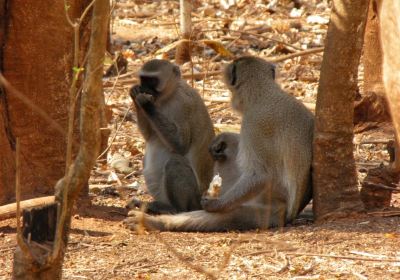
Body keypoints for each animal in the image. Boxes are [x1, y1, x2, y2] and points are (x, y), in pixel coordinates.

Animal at [125, 56, 312, 230]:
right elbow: (150, 137)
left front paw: (145, 103)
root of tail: (285, 214)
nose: (144, 88)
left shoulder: (186, 104)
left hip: (260, 209)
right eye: (143, 80)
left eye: (152, 81)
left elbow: (261, 174)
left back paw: (161, 216)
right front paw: (136, 95)